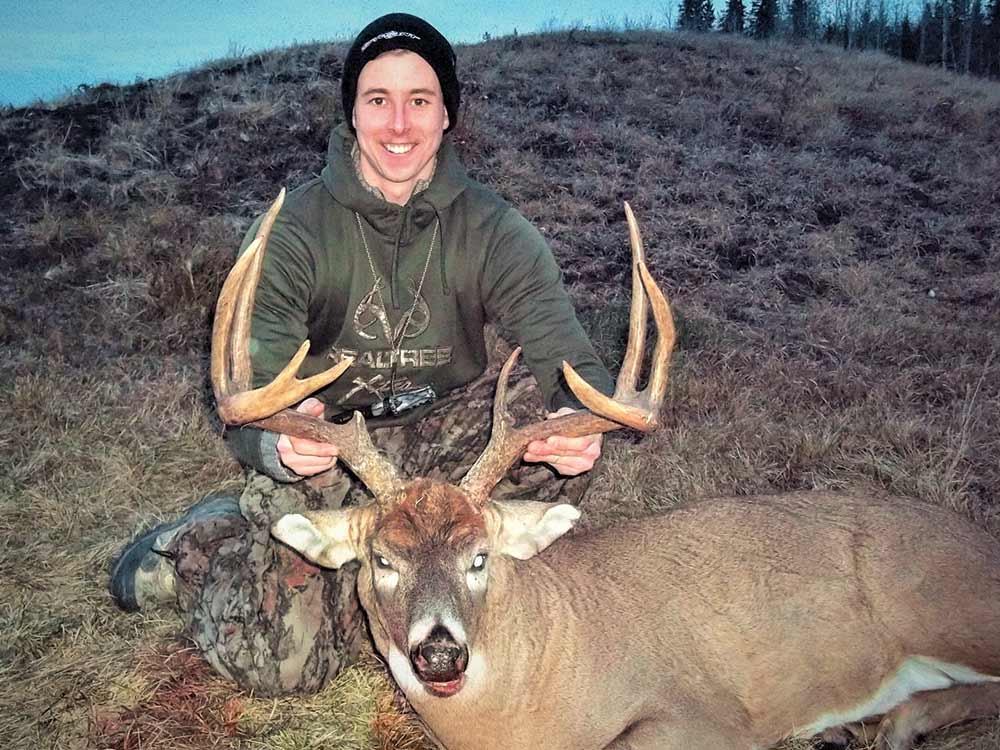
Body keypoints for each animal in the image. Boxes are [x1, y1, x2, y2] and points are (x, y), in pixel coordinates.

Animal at [212, 191, 1000, 750]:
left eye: (479, 557)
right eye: (382, 559)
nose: (440, 656)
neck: (524, 713)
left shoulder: (708, 715)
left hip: (945, 604)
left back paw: (890, 724)